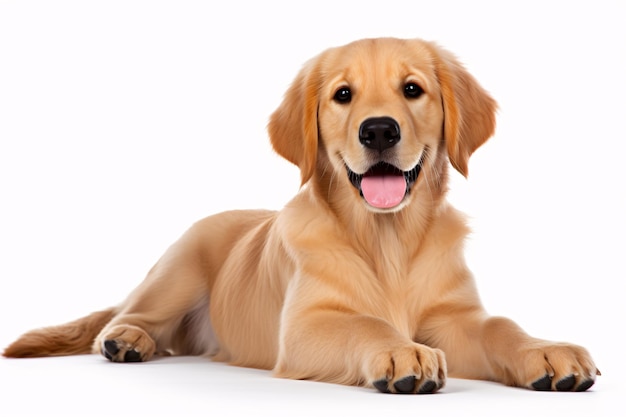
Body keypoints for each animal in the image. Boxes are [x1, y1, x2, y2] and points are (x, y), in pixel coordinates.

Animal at [4, 37, 600, 392]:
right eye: (343, 95)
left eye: (413, 89)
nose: (378, 130)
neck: (387, 238)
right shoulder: (305, 326)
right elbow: (366, 322)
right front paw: (399, 352)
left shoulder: (454, 317)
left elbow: (501, 325)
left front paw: (547, 352)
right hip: (179, 267)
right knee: (127, 314)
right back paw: (127, 339)